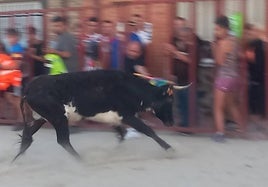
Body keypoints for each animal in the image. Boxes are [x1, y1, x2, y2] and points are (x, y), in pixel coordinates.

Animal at [13, 70, 186, 161]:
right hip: (59, 118)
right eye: (169, 101)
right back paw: (82, 161)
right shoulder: (128, 116)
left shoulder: (117, 119)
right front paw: (170, 149)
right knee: (63, 140)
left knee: (28, 135)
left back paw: (16, 160)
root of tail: (28, 89)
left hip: (41, 118)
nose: (171, 122)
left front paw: (116, 152)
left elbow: (122, 134)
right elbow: (149, 131)